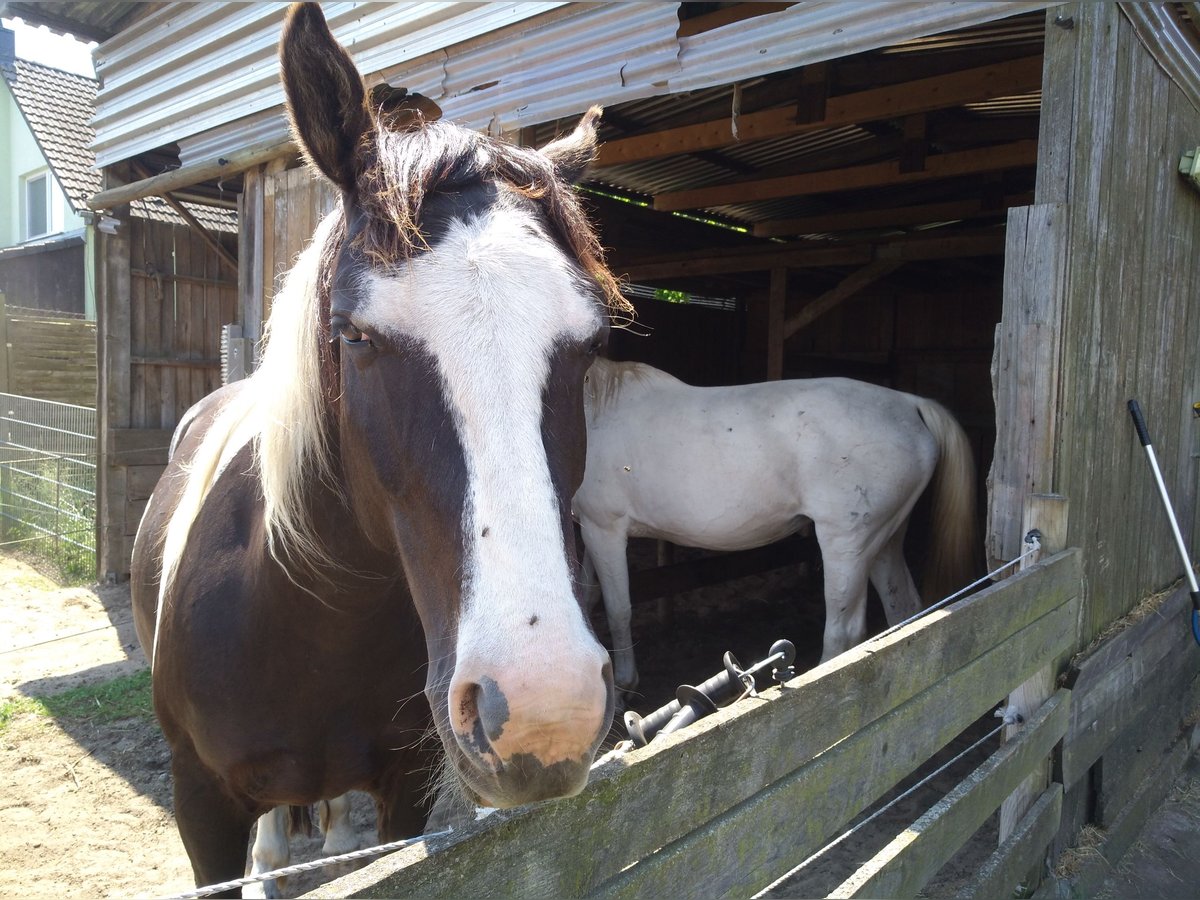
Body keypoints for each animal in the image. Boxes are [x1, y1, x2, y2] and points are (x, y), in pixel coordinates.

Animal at [131, 5, 624, 897]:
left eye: (593, 342)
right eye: (356, 335)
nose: (543, 711)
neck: (311, 618)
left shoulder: (407, 791)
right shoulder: (201, 806)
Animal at [576, 360, 979, 691]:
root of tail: (909, 403)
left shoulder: (603, 529)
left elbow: (617, 609)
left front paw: (624, 685)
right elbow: (587, 598)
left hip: (847, 547)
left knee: (843, 632)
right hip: (884, 543)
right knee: (904, 607)